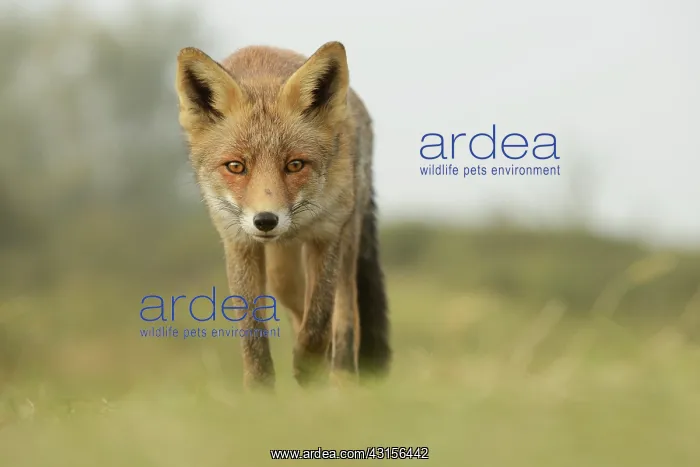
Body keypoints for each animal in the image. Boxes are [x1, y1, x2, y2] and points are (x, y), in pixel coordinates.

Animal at [174, 41, 390, 389]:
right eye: (236, 166)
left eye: (295, 165)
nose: (265, 220)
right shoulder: (238, 242)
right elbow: (253, 336)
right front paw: (260, 392)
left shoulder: (328, 233)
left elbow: (319, 321)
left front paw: (308, 367)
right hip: (281, 272)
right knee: (299, 306)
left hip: (348, 239)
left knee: (346, 314)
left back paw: (342, 380)